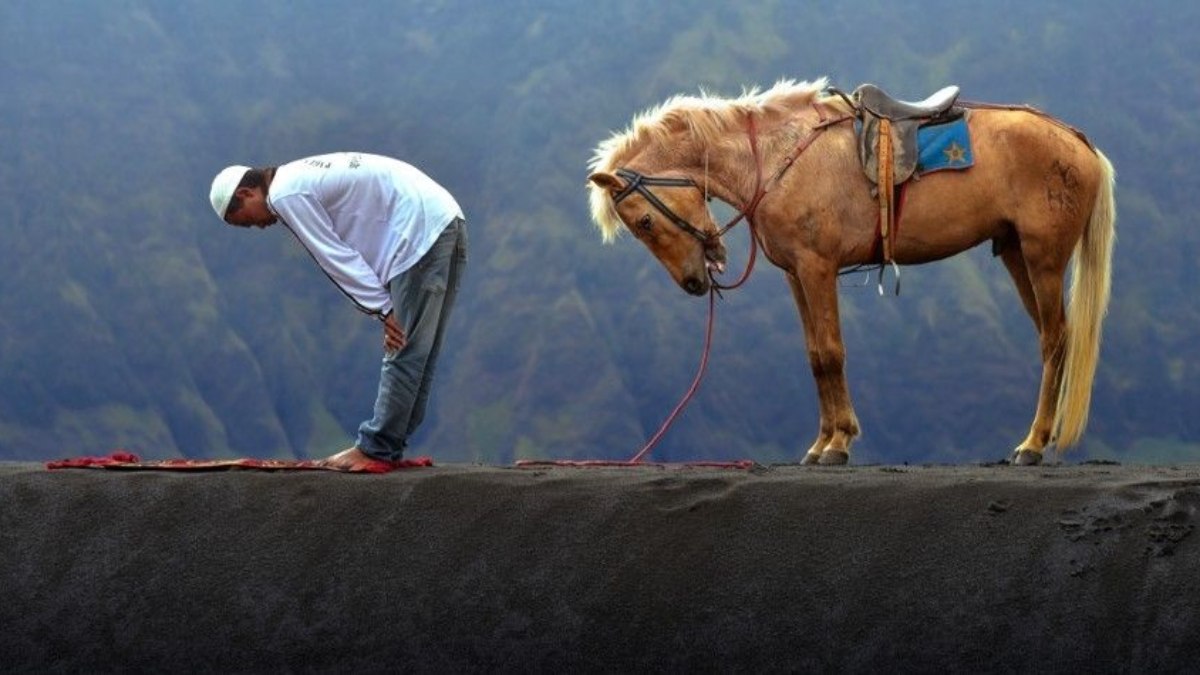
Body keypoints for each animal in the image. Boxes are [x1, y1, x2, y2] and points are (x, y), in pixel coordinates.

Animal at [585, 74, 1108, 461]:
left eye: (644, 221)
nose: (694, 282)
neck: (776, 158)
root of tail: (1078, 142)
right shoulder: (796, 274)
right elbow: (816, 355)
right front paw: (822, 443)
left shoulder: (818, 268)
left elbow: (833, 352)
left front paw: (837, 444)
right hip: (1016, 253)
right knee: (1053, 337)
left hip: (1043, 258)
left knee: (1054, 339)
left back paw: (1033, 444)